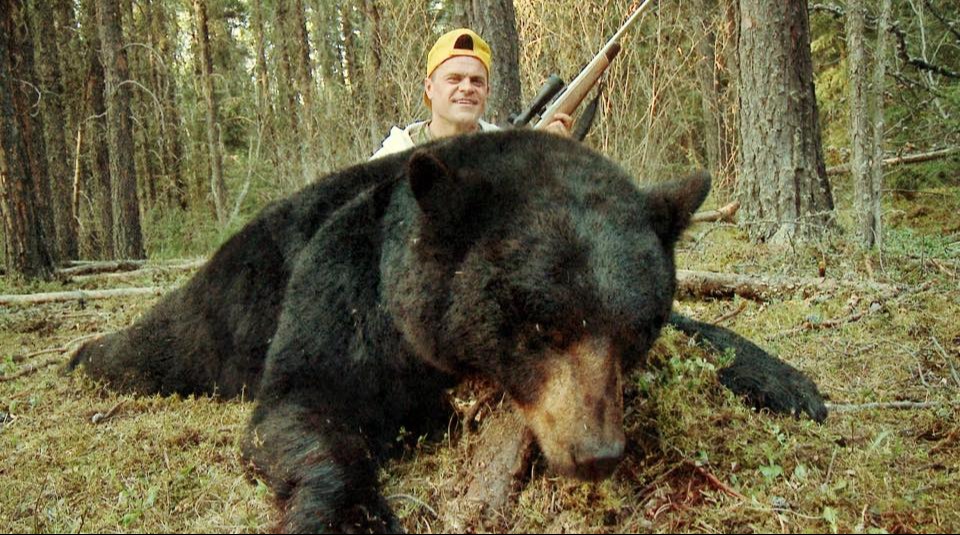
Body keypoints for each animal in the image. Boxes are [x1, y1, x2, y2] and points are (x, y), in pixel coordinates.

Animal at [69, 129, 825, 533]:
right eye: (541, 325)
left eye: (635, 331)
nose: (598, 452)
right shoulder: (342, 285)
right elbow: (303, 407)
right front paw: (347, 514)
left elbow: (705, 331)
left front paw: (789, 381)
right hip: (223, 304)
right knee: (156, 345)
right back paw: (83, 354)